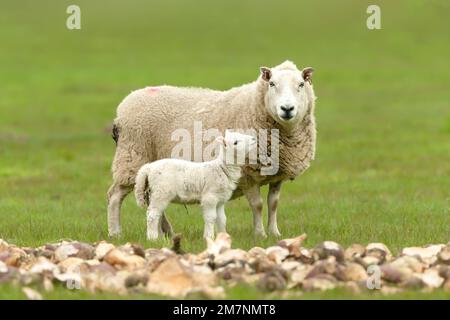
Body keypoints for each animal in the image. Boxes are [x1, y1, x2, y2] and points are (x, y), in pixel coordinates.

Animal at [107, 60, 316, 239]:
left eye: (301, 84)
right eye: (272, 84)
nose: (287, 109)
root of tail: (121, 109)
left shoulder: (277, 175)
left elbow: (273, 205)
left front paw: (274, 233)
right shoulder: (248, 175)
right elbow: (257, 205)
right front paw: (260, 234)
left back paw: (168, 232)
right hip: (132, 158)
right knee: (114, 196)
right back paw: (115, 233)